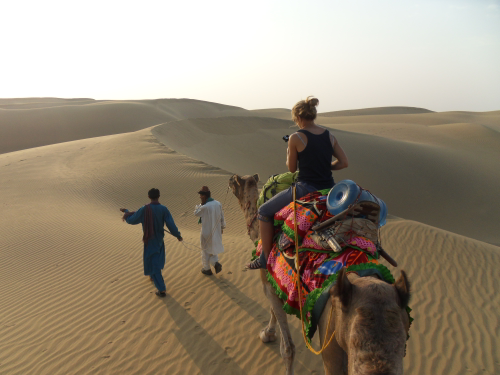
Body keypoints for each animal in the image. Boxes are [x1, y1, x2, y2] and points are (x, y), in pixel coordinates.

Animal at [229, 175, 410, 375]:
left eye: (236, 181)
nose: (230, 178)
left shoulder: (267, 282)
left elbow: (288, 347)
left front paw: (267, 334)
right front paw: (269, 333)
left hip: (331, 342)